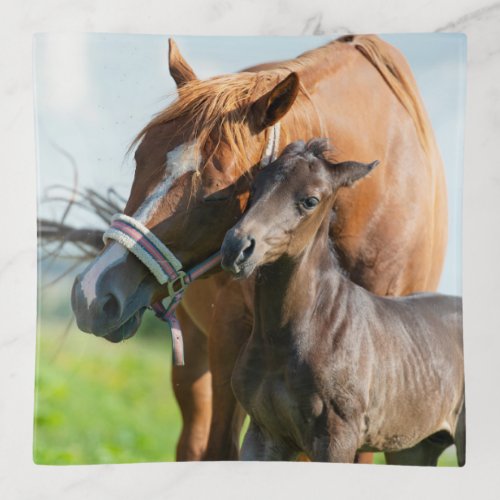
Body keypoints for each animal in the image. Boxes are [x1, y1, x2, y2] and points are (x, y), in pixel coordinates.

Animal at [221, 140, 462, 464]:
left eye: (310, 200)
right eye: (255, 186)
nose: (236, 247)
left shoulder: (337, 439)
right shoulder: (264, 435)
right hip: (415, 447)